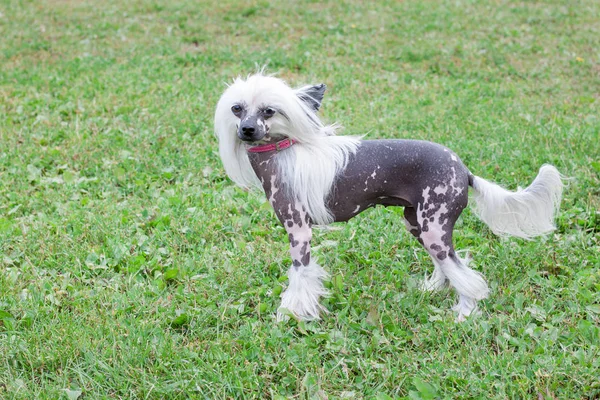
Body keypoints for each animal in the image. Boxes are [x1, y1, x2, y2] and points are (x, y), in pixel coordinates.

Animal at [214, 72, 564, 322]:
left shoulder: (298, 232)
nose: (246, 129)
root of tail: (465, 170)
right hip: (417, 223)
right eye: (237, 109)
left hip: (434, 226)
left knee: (462, 271)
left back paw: (466, 312)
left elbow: (299, 277)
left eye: (269, 111)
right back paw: (434, 288)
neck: (282, 153)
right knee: (448, 264)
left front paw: (291, 314)